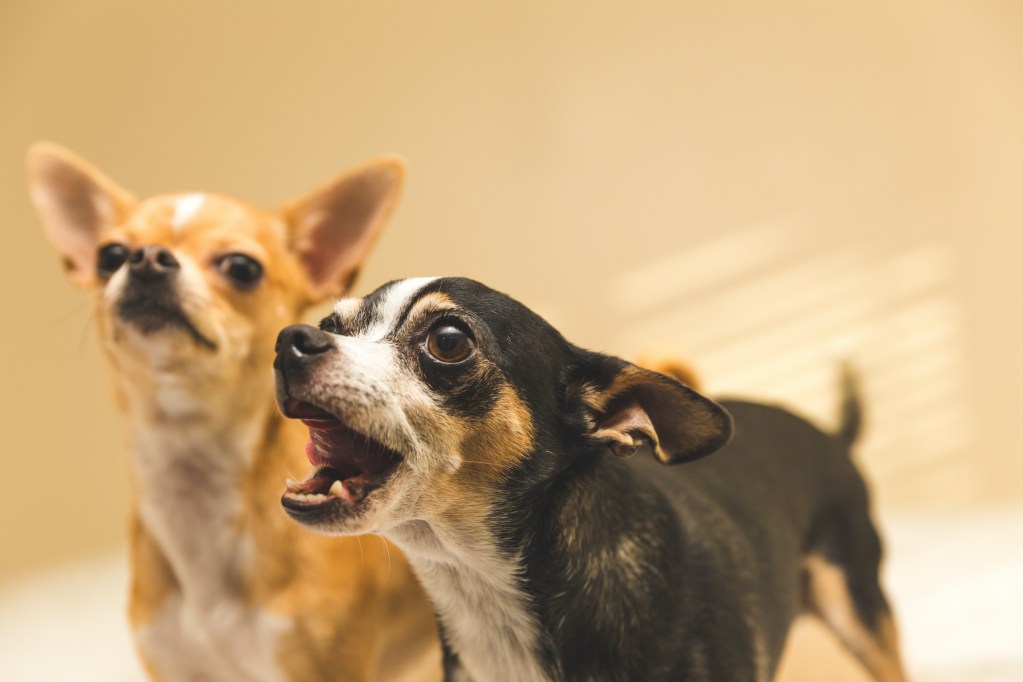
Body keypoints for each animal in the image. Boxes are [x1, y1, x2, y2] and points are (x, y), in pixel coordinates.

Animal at [274, 276, 912, 682]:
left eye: (449, 340)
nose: (290, 340)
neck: (482, 592)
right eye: (332, 323)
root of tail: (831, 434)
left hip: (862, 610)